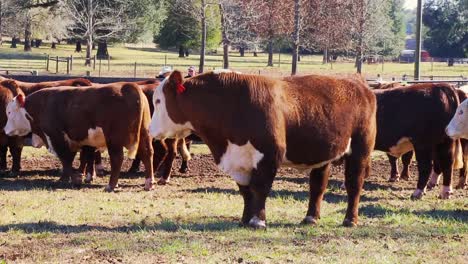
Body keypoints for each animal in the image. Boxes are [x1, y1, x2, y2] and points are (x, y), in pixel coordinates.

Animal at [4, 81, 154, 191]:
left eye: (10, 112)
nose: (5, 130)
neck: (42, 105)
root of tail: (130, 86)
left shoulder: (57, 136)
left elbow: (66, 158)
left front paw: (73, 178)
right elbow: (77, 157)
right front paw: (70, 177)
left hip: (114, 140)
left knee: (117, 158)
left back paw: (111, 185)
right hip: (144, 134)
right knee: (147, 154)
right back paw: (149, 183)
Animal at [150, 70, 376, 229]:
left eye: (159, 101)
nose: (150, 130)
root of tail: (358, 81)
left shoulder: (269, 156)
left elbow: (260, 188)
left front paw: (258, 221)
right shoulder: (238, 160)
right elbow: (245, 191)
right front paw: (244, 220)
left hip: (361, 150)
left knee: (354, 184)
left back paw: (350, 220)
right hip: (322, 153)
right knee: (318, 185)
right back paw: (310, 218)